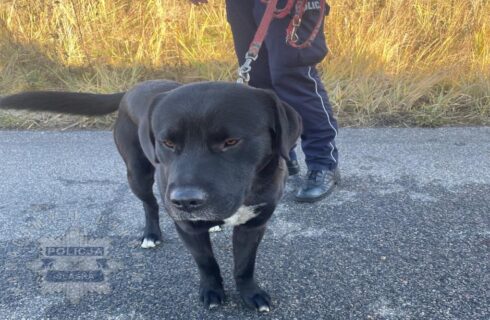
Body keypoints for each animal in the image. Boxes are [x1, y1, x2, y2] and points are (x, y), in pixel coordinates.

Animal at [0, 80, 302, 312]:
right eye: (167, 142)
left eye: (231, 142)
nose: (184, 201)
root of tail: (133, 88)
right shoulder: (186, 226)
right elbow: (206, 262)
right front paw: (212, 291)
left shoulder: (254, 224)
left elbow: (244, 265)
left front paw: (251, 294)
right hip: (137, 174)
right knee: (150, 204)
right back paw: (151, 234)